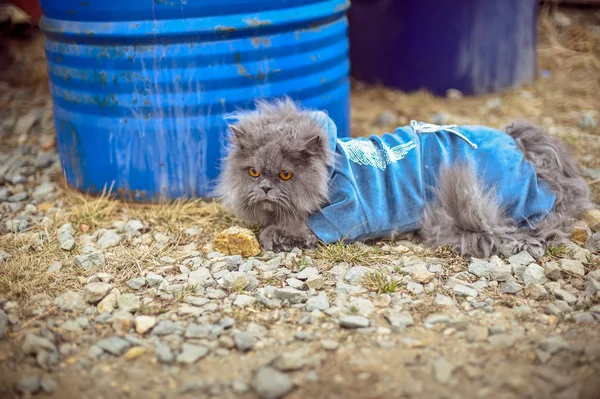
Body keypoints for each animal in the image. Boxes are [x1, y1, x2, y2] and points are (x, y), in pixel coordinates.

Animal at [214, 98, 592, 258]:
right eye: (253, 172)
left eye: (286, 175)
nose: (265, 187)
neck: (330, 171)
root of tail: (517, 140)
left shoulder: (338, 218)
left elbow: (291, 228)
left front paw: (271, 234)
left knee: (550, 222)